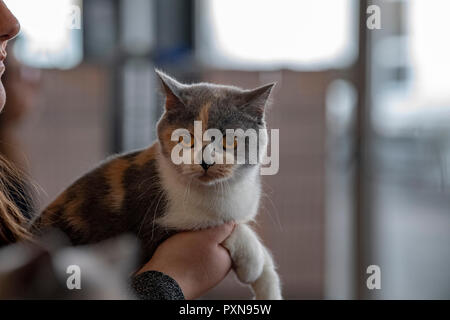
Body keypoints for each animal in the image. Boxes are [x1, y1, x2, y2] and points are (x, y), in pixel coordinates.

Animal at [32, 70, 282, 300]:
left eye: (230, 140)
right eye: (186, 138)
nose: (205, 161)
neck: (216, 191)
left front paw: (268, 285)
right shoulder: (150, 229)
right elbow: (220, 225)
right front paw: (252, 260)